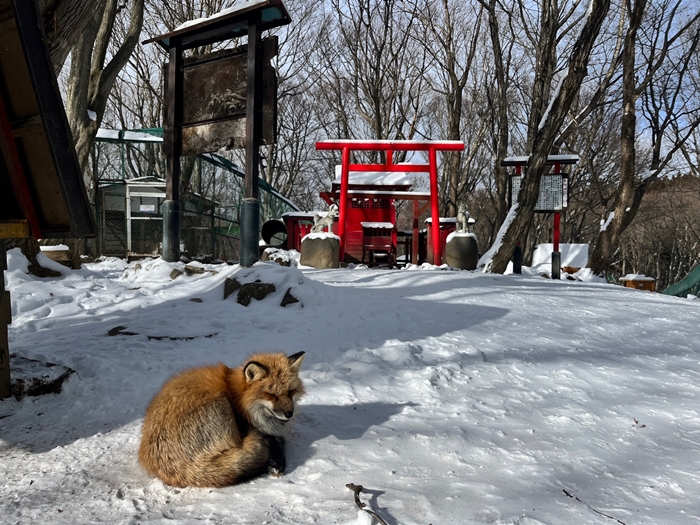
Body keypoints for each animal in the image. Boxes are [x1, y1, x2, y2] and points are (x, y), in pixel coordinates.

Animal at [139, 352, 306, 488]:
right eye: (271, 395)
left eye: (290, 391)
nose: (289, 414)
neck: (240, 400)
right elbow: (275, 441)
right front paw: (276, 462)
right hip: (221, 402)